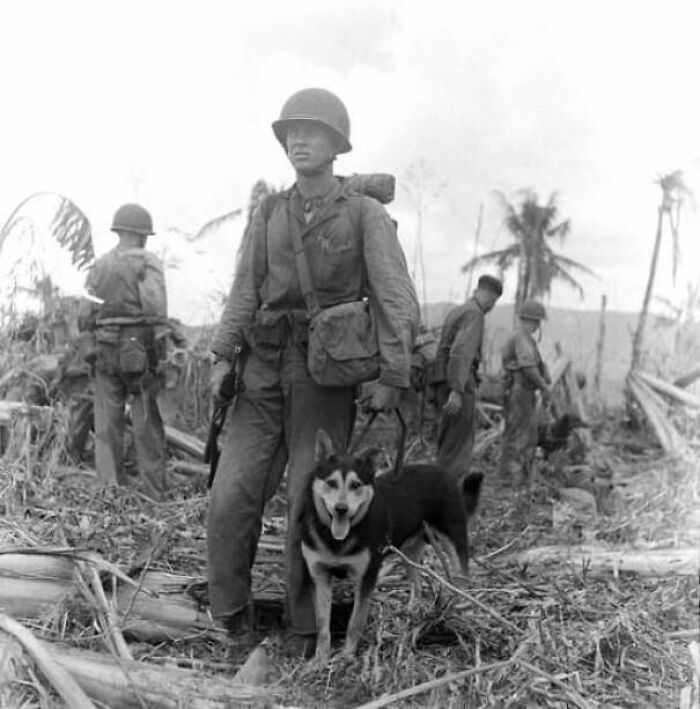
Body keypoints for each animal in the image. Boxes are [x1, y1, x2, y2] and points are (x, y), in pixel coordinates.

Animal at [300, 428, 482, 668]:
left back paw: (461, 607)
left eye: (356, 485)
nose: (341, 509)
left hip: (452, 536)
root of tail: (439, 469)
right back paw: (412, 610)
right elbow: (322, 625)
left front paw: (347, 656)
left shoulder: (366, 577)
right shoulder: (319, 575)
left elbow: (355, 623)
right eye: (331, 483)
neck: (336, 538)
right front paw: (320, 659)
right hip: (408, 550)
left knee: (463, 576)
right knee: (416, 582)